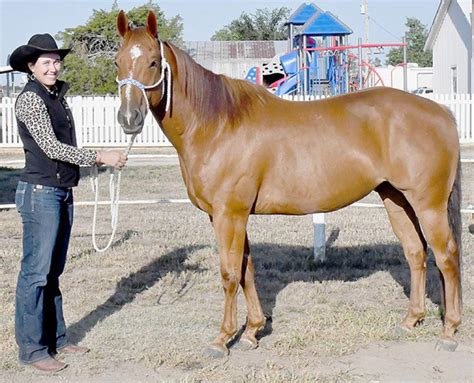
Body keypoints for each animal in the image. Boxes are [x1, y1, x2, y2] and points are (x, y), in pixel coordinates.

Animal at [115, 9, 462, 356]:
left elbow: (229, 273)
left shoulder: (229, 214)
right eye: (118, 62)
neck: (218, 125)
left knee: (446, 256)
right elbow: (247, 269)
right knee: (416, 253)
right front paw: (253, 331)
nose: (129, 118)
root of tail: (441, 112)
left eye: (153, 62)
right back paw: (411, 320)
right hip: (396, 199)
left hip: (428, 205)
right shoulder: (232, 215)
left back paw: (449, 331)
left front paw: (223, 338)